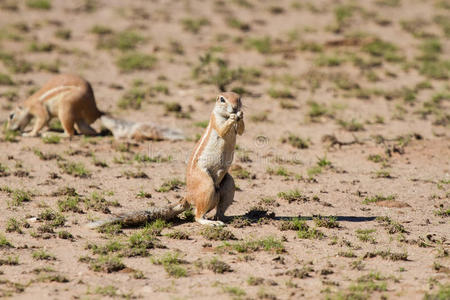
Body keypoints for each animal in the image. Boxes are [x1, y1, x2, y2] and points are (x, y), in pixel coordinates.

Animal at [6, 74, 183, 141]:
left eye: (11, 116)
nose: (10, 130)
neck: (27, 105)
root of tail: (96, 110)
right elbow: (47, 121)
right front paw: (42, 129)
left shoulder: (38, 108)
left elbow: (42, 120)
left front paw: (30, 133)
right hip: (78, 118)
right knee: (88, 131)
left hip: (66, 107)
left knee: (71, 133)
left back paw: (52, 135)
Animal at [87, 91, 243, 227]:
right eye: (222, 99)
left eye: (239, 98)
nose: (235, 107)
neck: (224, 114)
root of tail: (188, 196)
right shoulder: (215, 120)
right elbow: (222, 129)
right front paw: (233, 117)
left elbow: (241, 131)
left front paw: (241, 115)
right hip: (206, 185)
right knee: (197, 216)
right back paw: (211, 222)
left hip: (228, 183)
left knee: (218, 209)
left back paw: (225, 218)